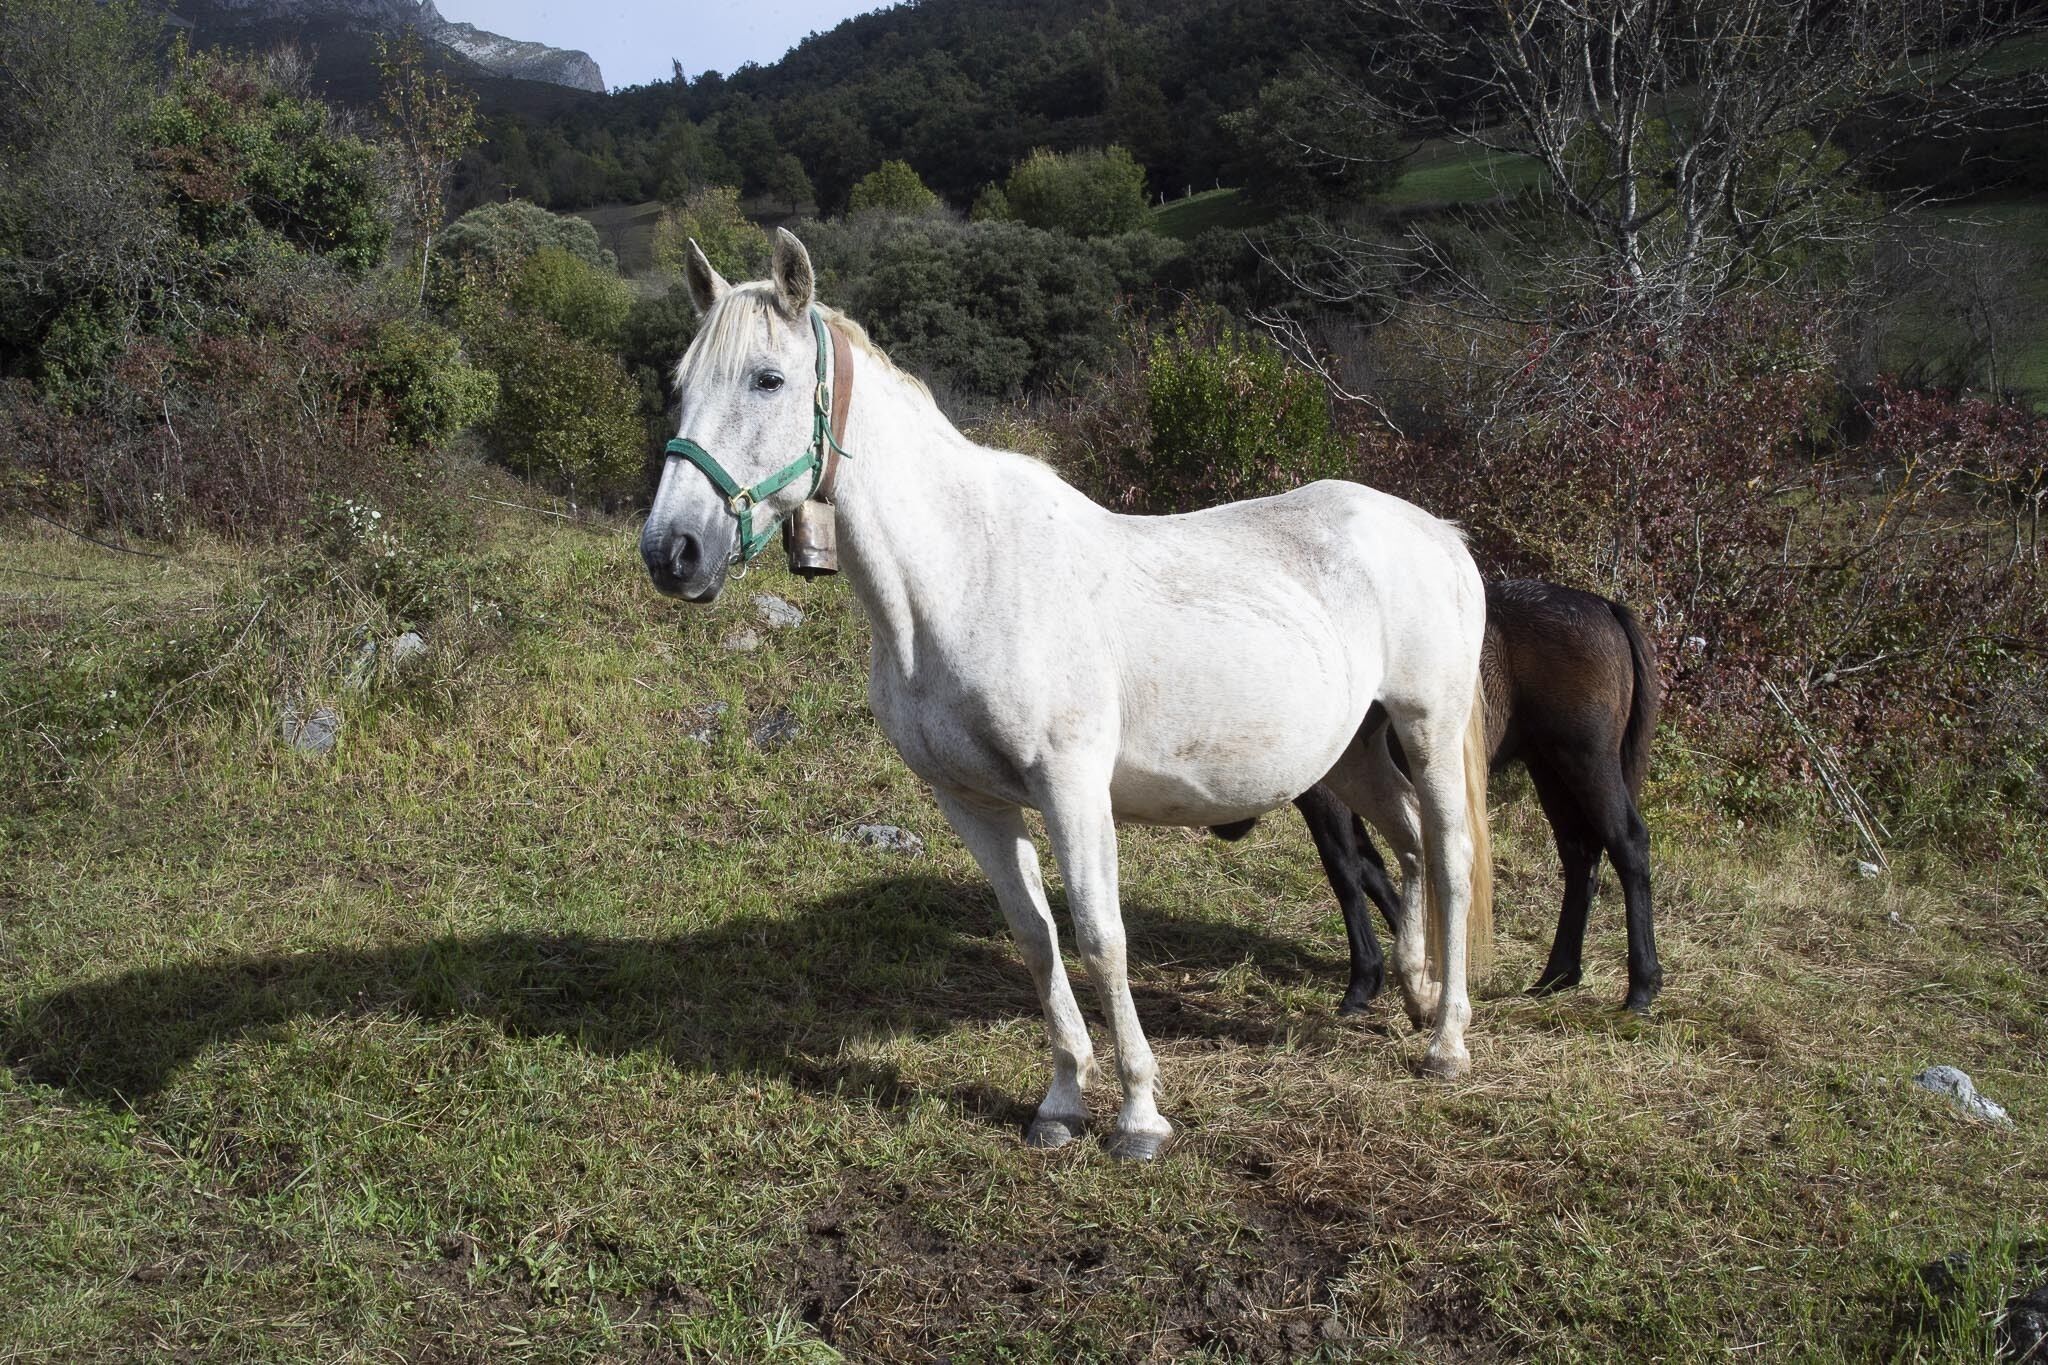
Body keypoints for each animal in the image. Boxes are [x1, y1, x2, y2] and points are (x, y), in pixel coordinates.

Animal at [639, 229, 1493, 1160]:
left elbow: (1098, 934)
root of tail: (1434, 530)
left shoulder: (1073, 786)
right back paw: (1414, 994)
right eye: (680, 384)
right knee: (1408, 844)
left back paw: (1448, 1042)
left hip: (1427, 727)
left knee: (1449, 852)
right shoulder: (971, 800)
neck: (965, 577)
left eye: (768, 378)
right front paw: (1059, 1102)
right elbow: (1035, 935)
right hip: (1349, 756)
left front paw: (1140, 1115)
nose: (672, 551)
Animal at [1221, 579, 1663, 1013]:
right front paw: (1419, 967)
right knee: (1579, 855)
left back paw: (1641, 986)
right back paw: (1556, 976)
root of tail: (1603, 607)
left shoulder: (1327, 797)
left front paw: (1364, 983)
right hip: (1549, 767)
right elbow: (1372, 868)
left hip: (1587, 762)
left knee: (1628, 845)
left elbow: (1345, 871)